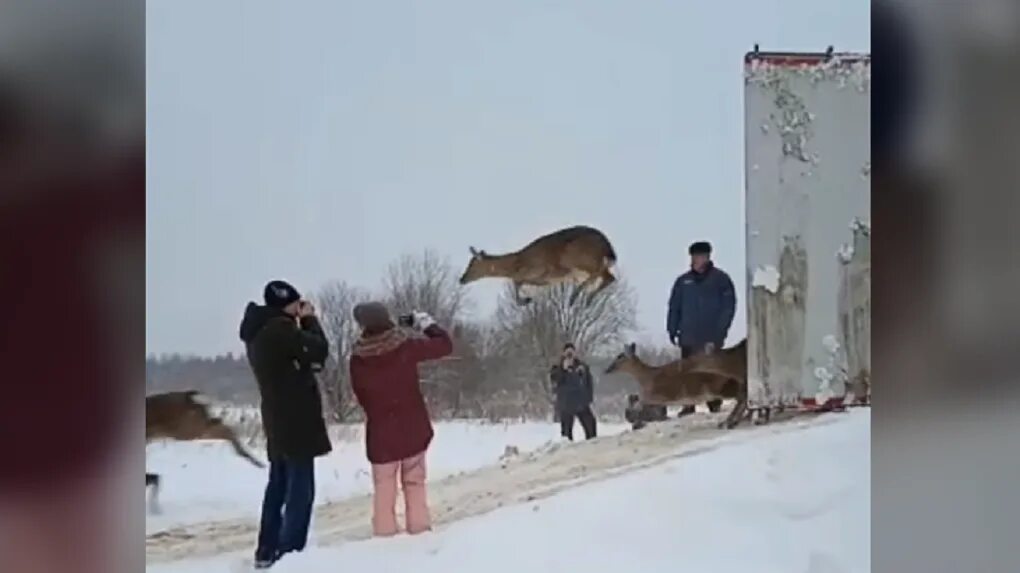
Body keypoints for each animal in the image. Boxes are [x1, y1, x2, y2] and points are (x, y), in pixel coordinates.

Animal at [459, 223, 616, 305]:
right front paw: (527, 300)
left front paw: (527, 300)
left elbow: (516, 283)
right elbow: (518, 284)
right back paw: (585, 297)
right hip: (593, 262)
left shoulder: (539, 269)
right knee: (609, 277)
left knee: (600, 274)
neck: (517, 263)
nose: (462, 279)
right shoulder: (543, 280)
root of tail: (608, 247)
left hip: (574, 256)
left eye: (472, 264)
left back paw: (576, 295)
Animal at [599, 340, 746, 426]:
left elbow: (641, 403)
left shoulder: (659, 395)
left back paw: (730, 421)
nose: (607, 369)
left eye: (620, 357)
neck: (648, 378)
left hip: (720, 387)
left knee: (741, 397)